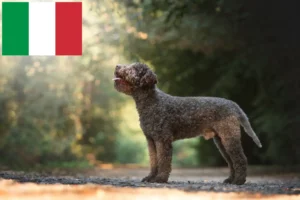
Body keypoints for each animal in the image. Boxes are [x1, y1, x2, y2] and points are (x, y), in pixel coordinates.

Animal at [113, 62, 262, 184]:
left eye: (133, 69)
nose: (117, 66)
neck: (152, 102)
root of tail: (233, 105)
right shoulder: (151, 140)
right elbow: (154, 161)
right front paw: (150, 178)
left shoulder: (162, 139)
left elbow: (163, 161)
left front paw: (160, 179)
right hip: (221, 141)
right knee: (231, 162)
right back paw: (230, 180)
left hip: (229, 137)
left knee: (240, 159)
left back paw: (239, 181)